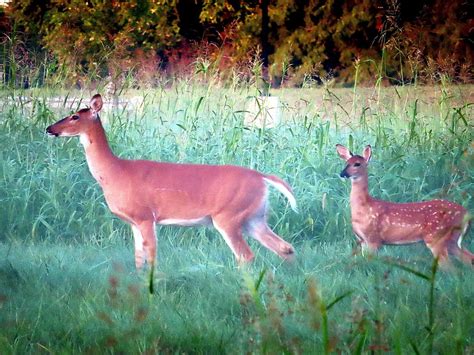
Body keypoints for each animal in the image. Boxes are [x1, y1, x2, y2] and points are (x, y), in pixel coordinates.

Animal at [45, 94, 296, 270]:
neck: (115, 171)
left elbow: (152, 255)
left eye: (75, 116)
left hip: (229, 216)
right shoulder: (134, 222)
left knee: (246, 255)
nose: (49, 129)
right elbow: (138, 258)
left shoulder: (146, 216)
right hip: (254, 218)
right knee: (285, 247)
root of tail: (262, 177)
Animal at [336, 144, 472, 268]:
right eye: (346, 163)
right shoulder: (363, 241)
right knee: (468, 259)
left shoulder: (373, 239)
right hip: (452, 239)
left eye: (357, 164)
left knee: (449, 266)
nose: (342, 173)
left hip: (436, 237)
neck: (364, 207)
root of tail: (466, 214)